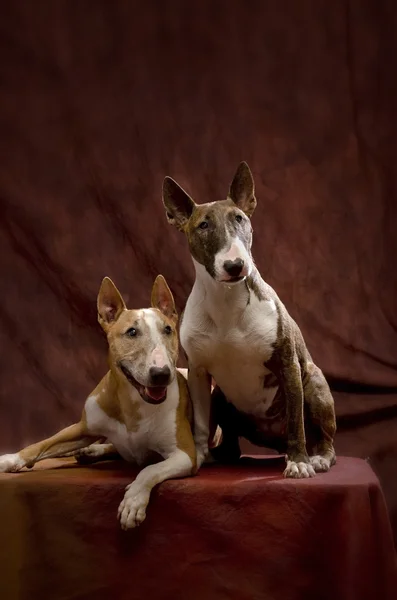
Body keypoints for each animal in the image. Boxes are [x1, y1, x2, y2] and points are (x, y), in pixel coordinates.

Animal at [0, 274, 196, 528]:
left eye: (168, 330)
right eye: (132, 332)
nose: (161, 374)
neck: (131, 405)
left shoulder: (185, 455)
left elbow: (150, 469)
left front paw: (133, 501)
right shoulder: (82, 426)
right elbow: (41, 444)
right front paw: (10, 460)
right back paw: (91, 450)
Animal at [162, 161, 336, 478]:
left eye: (240, 218)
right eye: (203, 225)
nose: (235, 265)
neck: (227, 301)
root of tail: (272, 440)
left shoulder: (288, 364)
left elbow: (297, 422)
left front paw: (299, 462)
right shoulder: (198, 371)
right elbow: (201, 425)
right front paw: (198, 456)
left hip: (314, 382)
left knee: (323, 437)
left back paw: (317, 457)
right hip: (220, 396)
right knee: (232, 443)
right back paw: (219, 455)